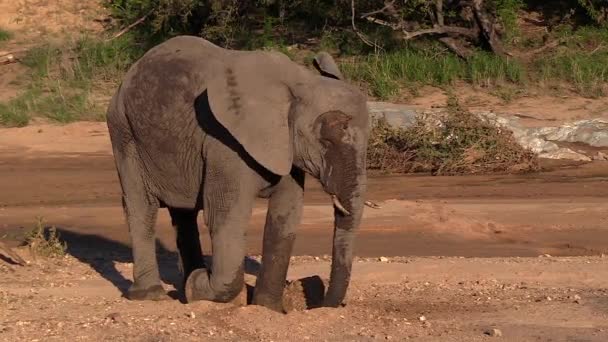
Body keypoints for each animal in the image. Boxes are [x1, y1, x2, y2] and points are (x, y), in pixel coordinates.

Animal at [106, 35, 368, 312]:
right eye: (326, 140)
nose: (320, 299)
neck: (299, 81)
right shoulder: (224, 144)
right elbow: (227, 218)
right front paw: (200, 284)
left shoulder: (283, 144)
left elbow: (285, 216)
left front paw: (267, 310)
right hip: (124, 131)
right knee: (141, 206)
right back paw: (152, 295)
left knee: (183, 215)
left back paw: (184, 287)